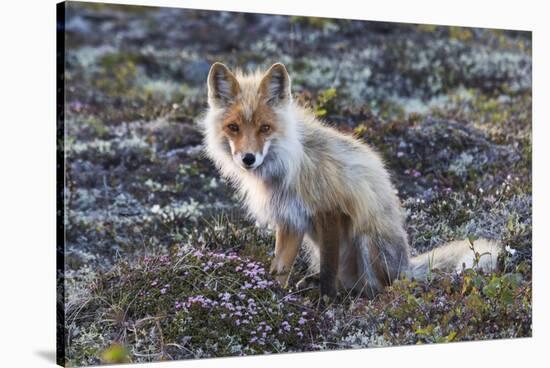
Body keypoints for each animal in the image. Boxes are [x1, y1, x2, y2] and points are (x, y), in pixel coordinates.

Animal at [199, 61, 504, 302]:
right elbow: (280, 269)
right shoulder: (291, 221)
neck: (288, 165)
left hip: (366, 240)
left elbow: (328, 272)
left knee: (379, 288)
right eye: (233, 128)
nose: (248, 159)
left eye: (265, 128)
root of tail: (404, 266)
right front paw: (274, 298)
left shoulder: (332, 211)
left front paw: (325, 304)